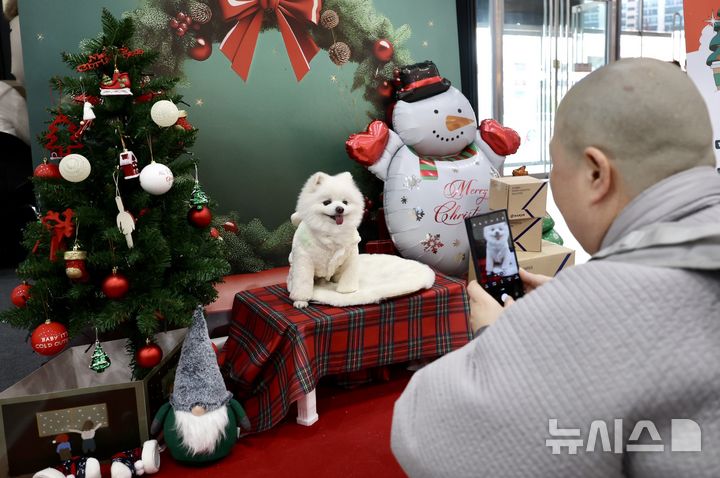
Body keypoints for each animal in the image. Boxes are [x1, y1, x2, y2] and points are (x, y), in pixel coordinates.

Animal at [288, 172, 366, 310]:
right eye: (327, 202)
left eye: (345, 202)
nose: (340, 208)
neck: (332, 231)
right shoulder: (303, 259)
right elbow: (302, 281)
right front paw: (300, 300)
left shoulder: (350, 256)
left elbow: (349, 274)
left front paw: (348, 291)